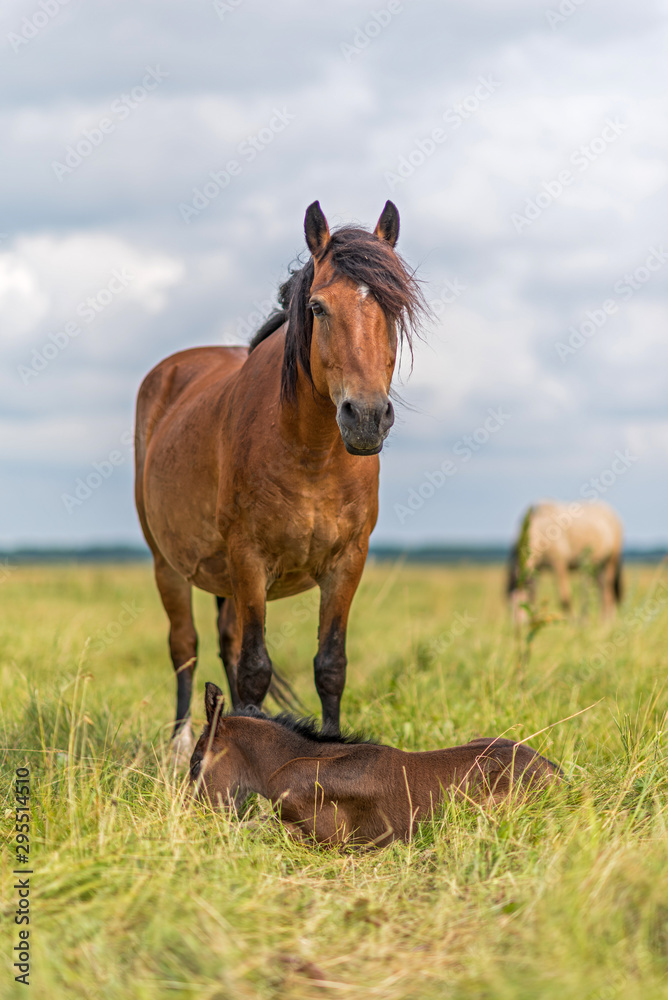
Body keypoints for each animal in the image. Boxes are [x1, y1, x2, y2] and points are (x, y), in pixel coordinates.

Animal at [134, 199, 426, 752]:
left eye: (394, 308)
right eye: (318, 307)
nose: (366, 417)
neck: (311, 454)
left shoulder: (346, 564)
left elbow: (329, 666)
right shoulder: (250, 559)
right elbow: (255, 668)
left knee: (225, 643)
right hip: (169, 564)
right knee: (185, 647)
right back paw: (181, 744)